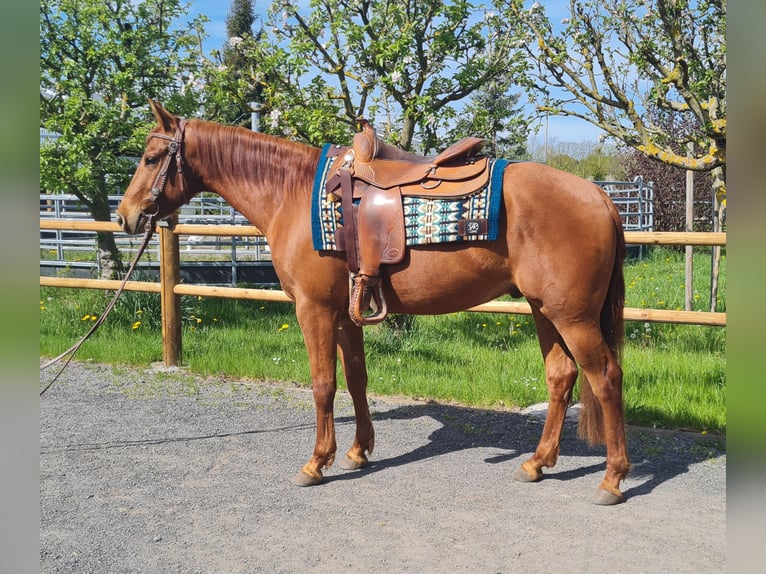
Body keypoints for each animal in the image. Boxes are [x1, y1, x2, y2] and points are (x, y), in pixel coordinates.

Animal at [116, 100, 629, 505]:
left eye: (152, 157)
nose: (125, 216)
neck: (291, 195)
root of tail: (600, 197)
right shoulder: (346, 313)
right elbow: (357, 380)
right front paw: (358, 451)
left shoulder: (314, 310)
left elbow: (323, 384)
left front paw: (315, 463)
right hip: (545, 311)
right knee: (561, 377)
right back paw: (537, 463)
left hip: (573, 316)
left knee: (606, 378)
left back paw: (612, 478)